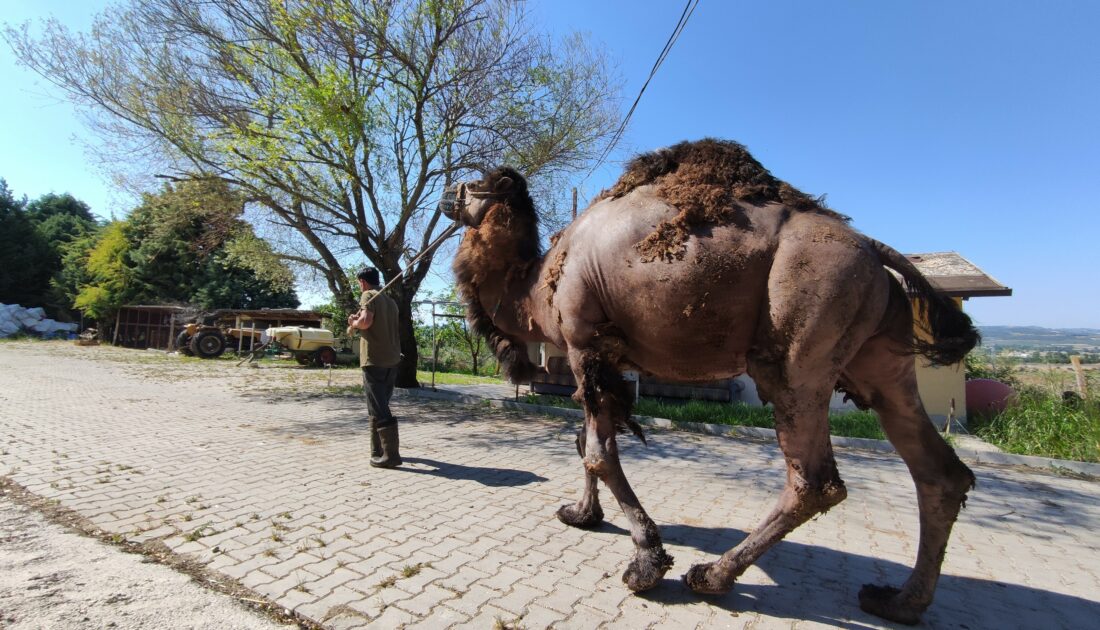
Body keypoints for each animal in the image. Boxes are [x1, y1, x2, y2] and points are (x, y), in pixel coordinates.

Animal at [442, 138, 976, 624]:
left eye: (475, 185)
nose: (446, 193)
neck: (534, 286)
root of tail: (873, 248)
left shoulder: (584, 343)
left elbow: (598, 453)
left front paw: (646, 562)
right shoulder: (602, 358)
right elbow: (584, 443)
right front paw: (581, 515)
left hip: (800, 346)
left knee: (815, 480)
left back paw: (712, 576)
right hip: (881, 358)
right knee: (938, 471)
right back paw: (899, 601)